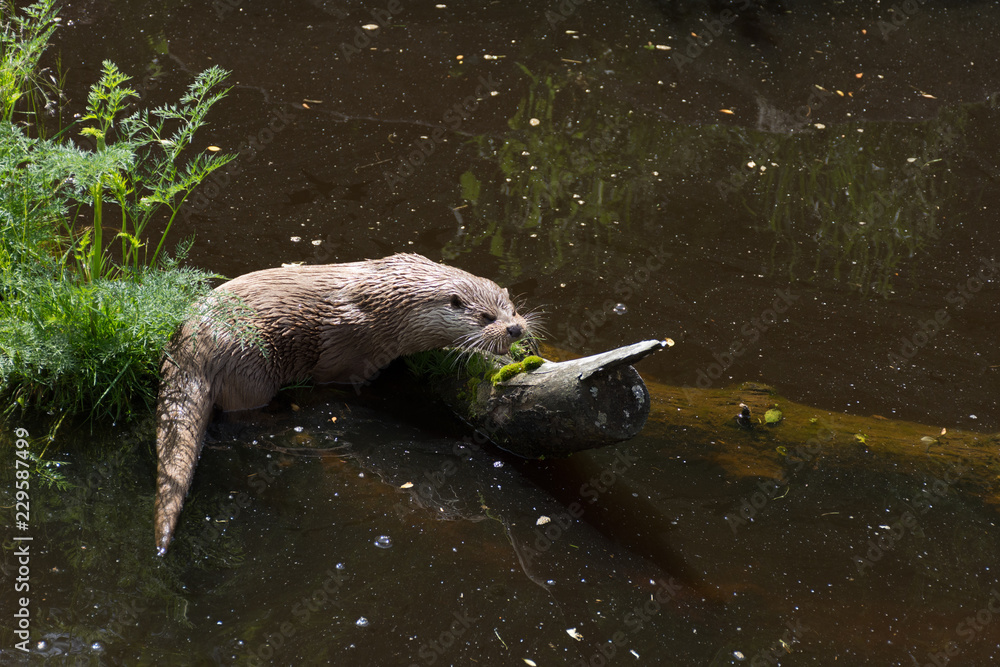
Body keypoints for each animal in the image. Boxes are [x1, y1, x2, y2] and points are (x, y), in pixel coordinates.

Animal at [154, 253, 533, 555]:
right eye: (486, 317)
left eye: (512, 310)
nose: (514, 329)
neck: (388, 311)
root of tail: (191, 348)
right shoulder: (349, 351)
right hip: (249, 364)